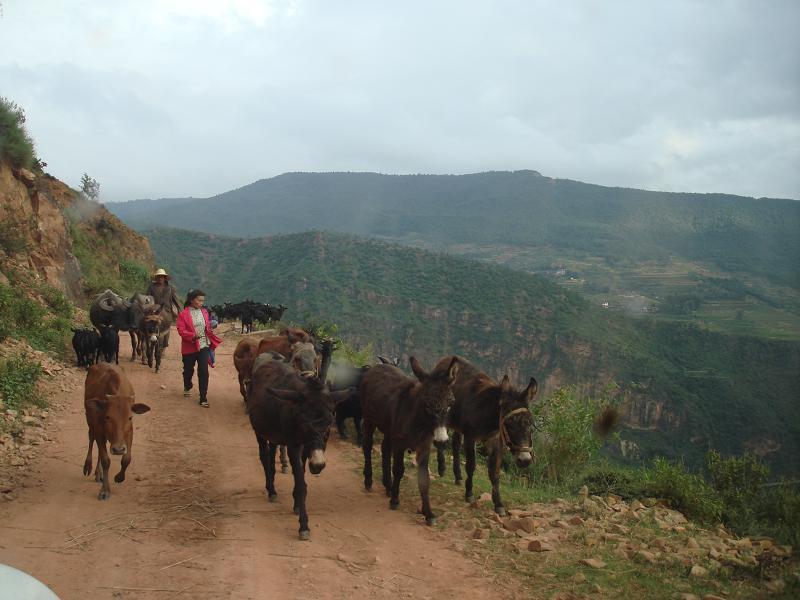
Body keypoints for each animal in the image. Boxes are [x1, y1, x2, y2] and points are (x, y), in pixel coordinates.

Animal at [84, 364, 152, 500]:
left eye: (130, 417)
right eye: (108, 417)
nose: (118, 450)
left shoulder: (129, 432)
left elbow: (127, 459)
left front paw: (119, 477)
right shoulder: (99, 431)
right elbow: (105, 460)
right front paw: (105, 490)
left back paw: (98, 473)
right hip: (90, 422)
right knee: (91, 438)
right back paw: (88, 466)